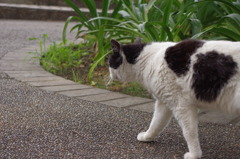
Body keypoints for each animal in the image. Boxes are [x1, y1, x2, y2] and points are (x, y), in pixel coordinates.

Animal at [108, 38, 240, 159]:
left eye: (109, 63)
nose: (109, 74)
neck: (147, 60)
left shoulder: (180, 105)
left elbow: (189, 132)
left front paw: (194, 155)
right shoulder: (164, 103)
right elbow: (156, 123)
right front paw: (147, 137)